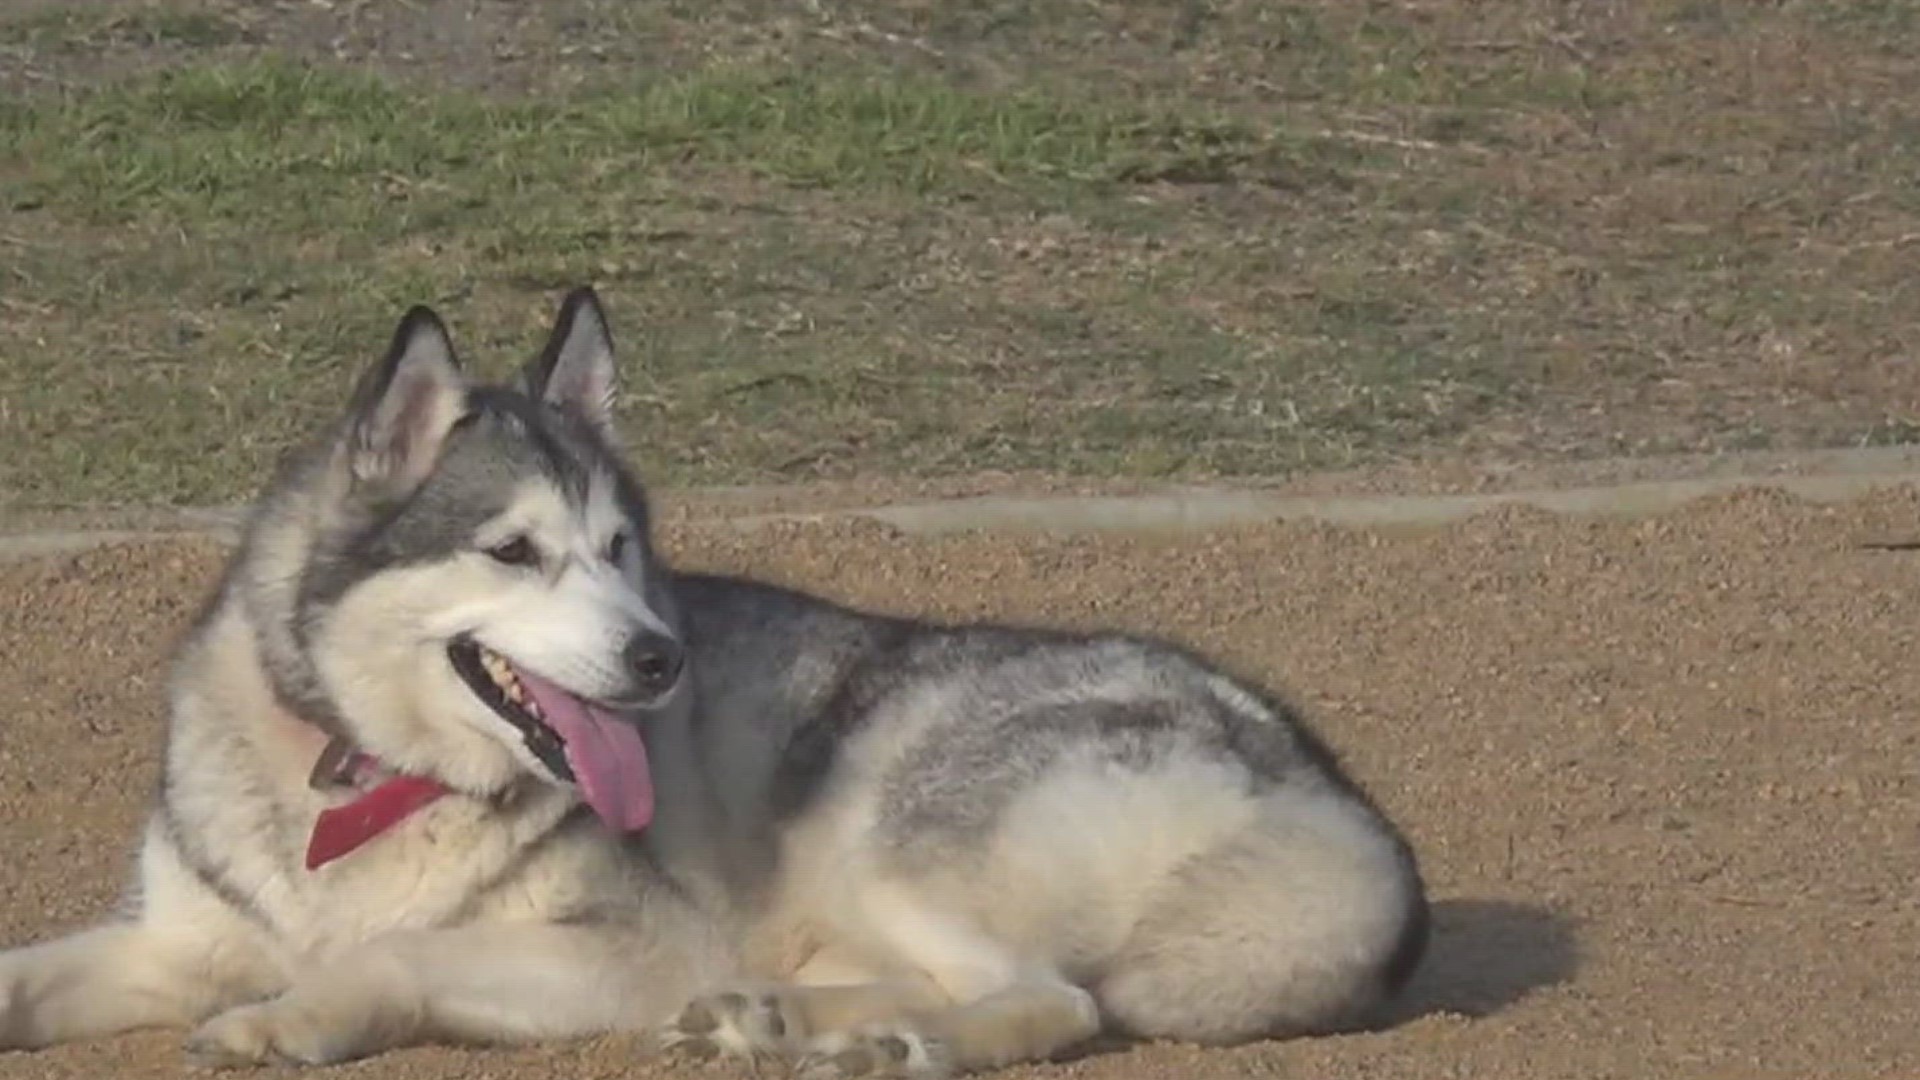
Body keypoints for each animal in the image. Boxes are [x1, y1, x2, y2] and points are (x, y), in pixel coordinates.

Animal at [0, 286, 1428, 1068]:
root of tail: (1320, 783)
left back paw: (900, 1047)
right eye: (514, 552)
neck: (367, 774)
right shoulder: (174, 941)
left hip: (898, 833)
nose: (659, 656)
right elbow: (30, 973)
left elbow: (399, 951)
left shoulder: (622, 953)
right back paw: (781, 1019)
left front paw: (292, 1015)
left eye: (620, 548)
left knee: (1050, 999)